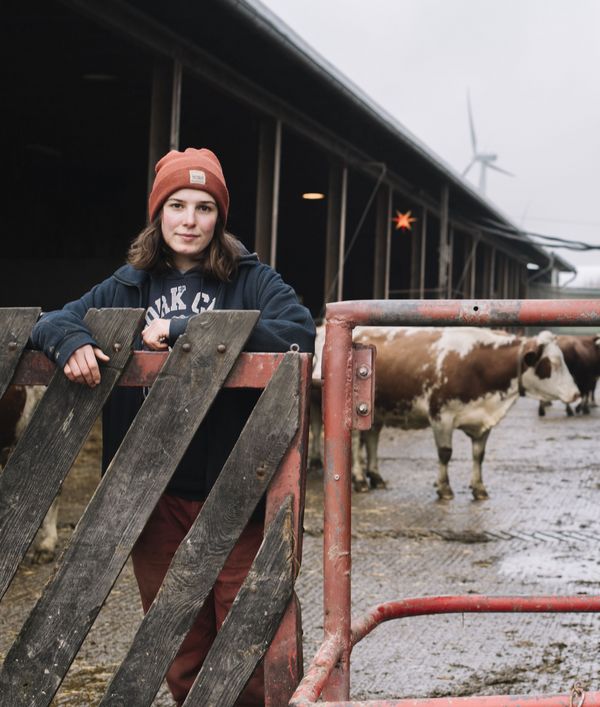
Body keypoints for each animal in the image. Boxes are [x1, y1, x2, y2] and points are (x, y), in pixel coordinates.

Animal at [310, 328, 576, 500]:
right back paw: (359, 480)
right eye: (551, 364)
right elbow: (445, 453)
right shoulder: (441, 416)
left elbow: (479, 456)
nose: (575, 394)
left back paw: (376, 476)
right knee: (355, 443)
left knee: (372, 437)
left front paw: (479, 488)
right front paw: (444, 488)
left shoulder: (482, 422)